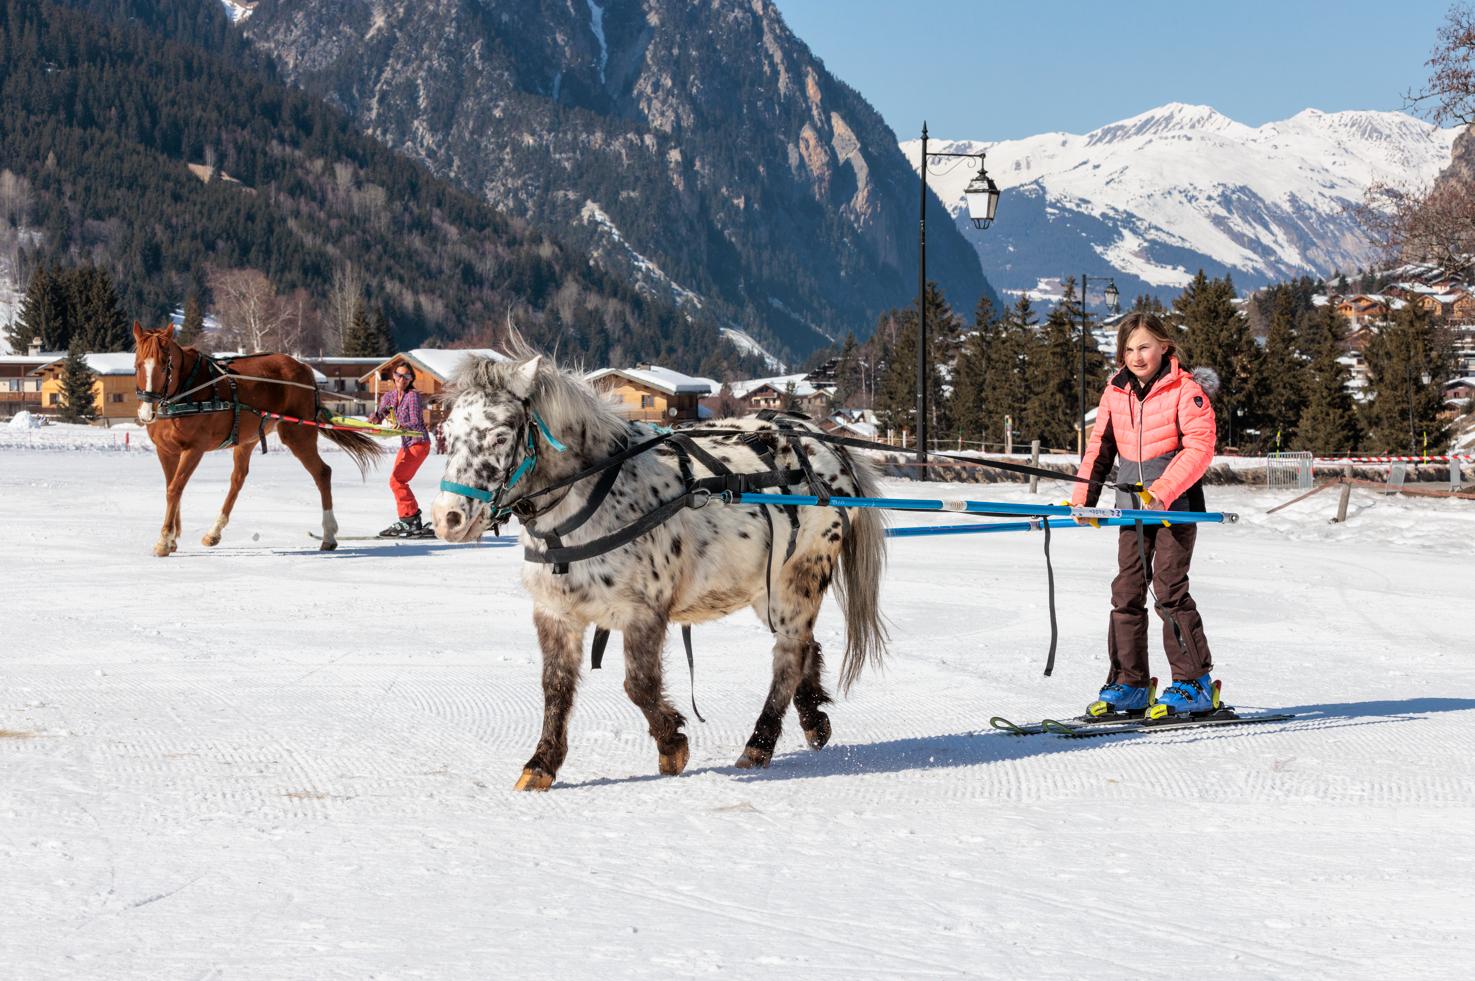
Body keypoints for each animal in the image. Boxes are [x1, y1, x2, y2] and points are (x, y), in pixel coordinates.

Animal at [132, 321, 383, 551]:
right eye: (136, 366)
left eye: (163, 368)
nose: (146, 413)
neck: (186, 390)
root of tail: (303, 367)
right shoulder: (165, 450)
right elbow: (172, 488)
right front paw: (173, 537)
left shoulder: (194, 449)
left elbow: (175, 489)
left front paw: (165, 539)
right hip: (248, 439)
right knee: (238, 479)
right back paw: (214, 531)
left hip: (298, 435)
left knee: (322, 473)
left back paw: (329, 535)